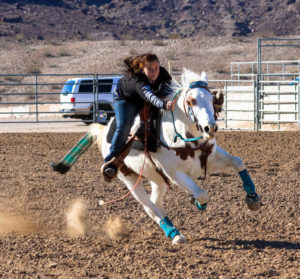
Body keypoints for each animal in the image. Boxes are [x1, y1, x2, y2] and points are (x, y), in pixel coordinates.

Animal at [88, 68, 260, 245]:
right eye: (192, 101)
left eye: (212, 99)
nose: (210, 128)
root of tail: (106, 129)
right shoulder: (175, 174)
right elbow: (202, 194)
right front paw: (197, 202)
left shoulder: (210, 158)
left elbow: (237, 162)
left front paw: (253, 198)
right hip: (129, 177)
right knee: (150, 207)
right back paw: (174, 233)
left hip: (157, 179)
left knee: (156, 202)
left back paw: (173, 231)